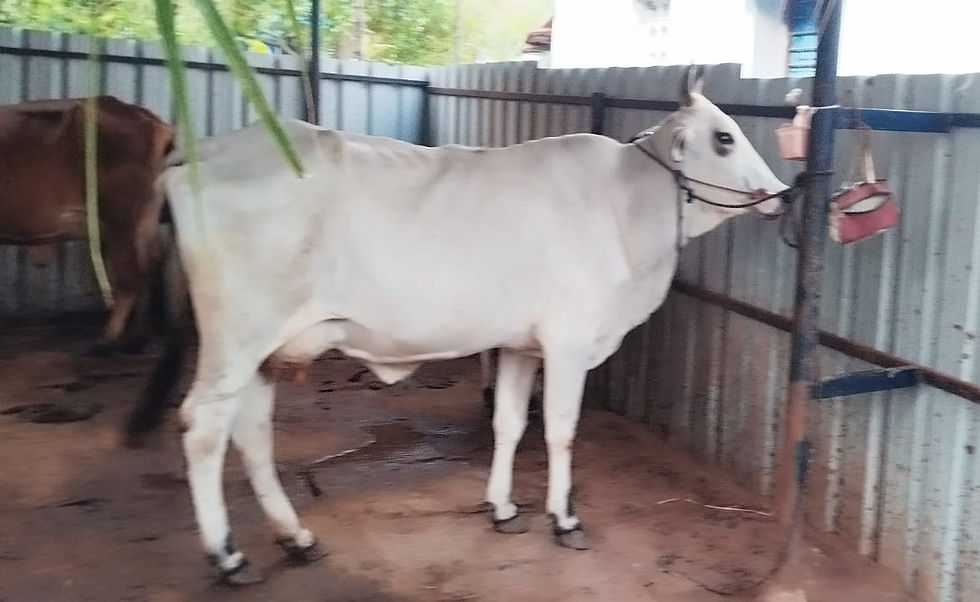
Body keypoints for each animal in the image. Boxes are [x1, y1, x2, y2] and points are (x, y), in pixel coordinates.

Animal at [0, 96, 174, 353]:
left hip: (123, 218)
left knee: (130, 278)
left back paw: (111, 340)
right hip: (136, 221)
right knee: (144, 268)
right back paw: (137, 337)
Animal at [127, 67, 790, 584]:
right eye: (724, 138)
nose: (782, 193)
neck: (628, 207)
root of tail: (205, 152)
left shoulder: (522, 346)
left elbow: (509, 425)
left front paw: (502, 509)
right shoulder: (569, 342)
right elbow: (561, 431)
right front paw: (564, 518)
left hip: (263, 349)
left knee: (252, 430)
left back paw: (296, 537)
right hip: (235, 337)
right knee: (204, 427)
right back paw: (229, 556)